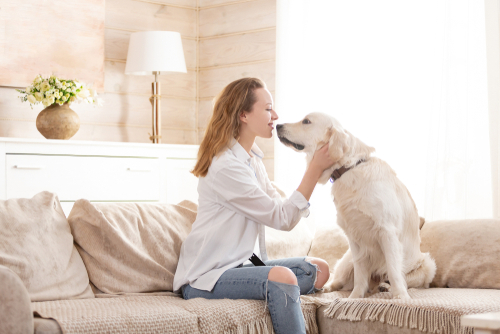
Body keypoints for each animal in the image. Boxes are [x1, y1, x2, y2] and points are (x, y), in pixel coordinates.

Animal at [276, 112, 436, 300]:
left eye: (306, 121)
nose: (277, 125)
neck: (350, 168)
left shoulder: (387, 231)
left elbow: (393, 269)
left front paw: (400, 297)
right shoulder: (354, 237)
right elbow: (360, 274)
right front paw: (355, 297)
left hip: (428, 266)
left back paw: (385, 286)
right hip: (347, 260)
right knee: (339, 280)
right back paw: (326, 288)